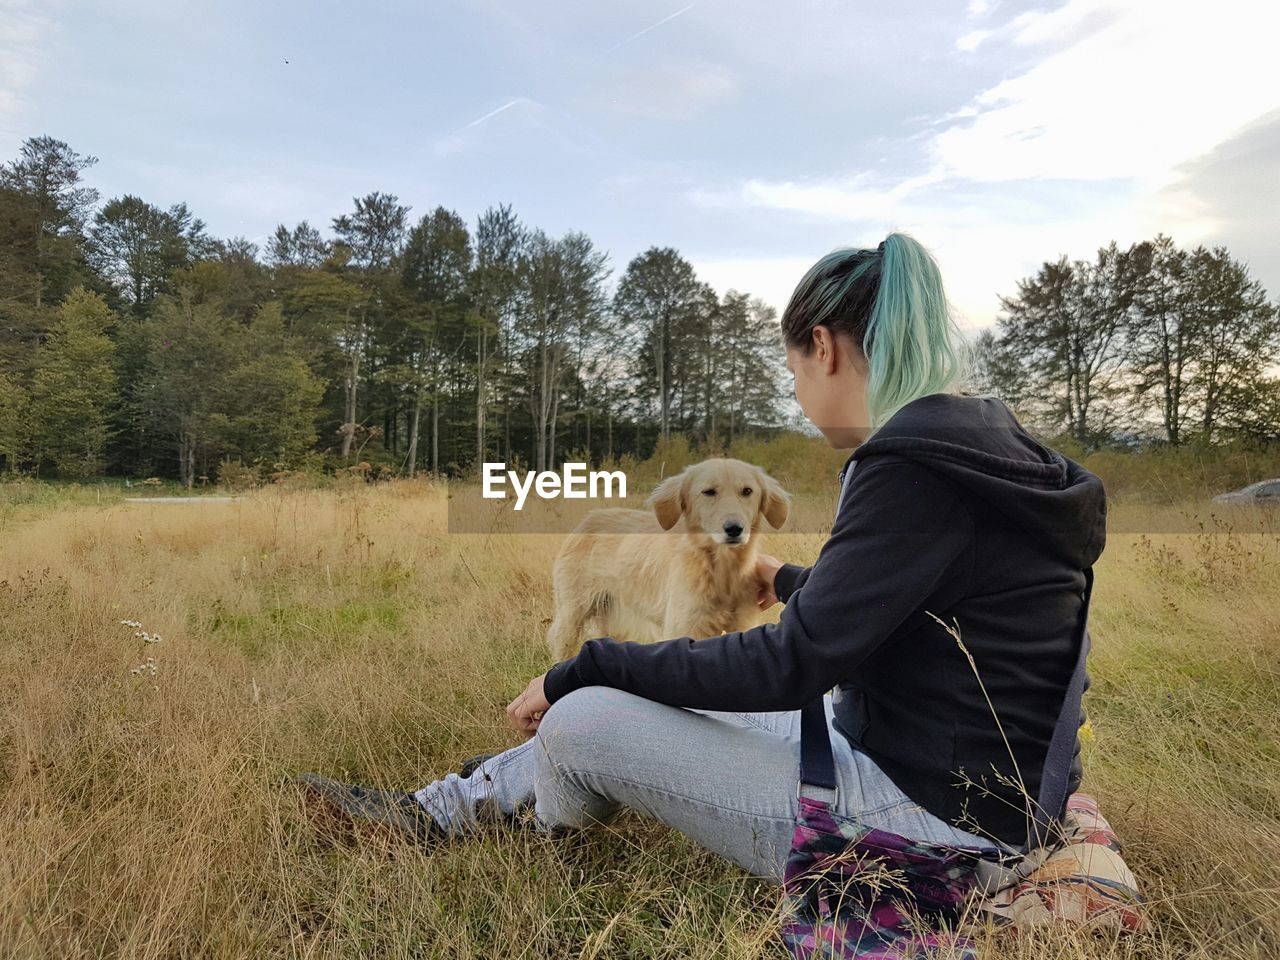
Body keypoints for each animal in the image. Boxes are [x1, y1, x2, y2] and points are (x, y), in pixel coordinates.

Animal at [547, 458, 788, 660]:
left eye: (747, 491)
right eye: (708, 492)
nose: (734, 529)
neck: (721, 570)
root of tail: (589, 518)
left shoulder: (741, 626)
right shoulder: (685, 627)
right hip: (571, 616)